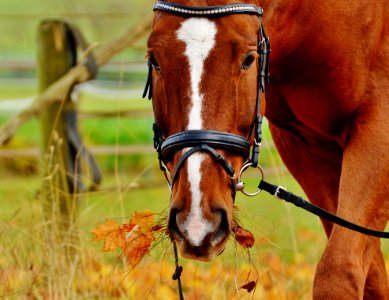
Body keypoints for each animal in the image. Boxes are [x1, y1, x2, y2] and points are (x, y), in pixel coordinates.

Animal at [146, 0, 388, 298]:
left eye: (249, 59)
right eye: (155, 59)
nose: (197, 223)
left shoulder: (378, 126)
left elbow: (340, 270)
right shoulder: (304, 145)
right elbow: (372, 275)